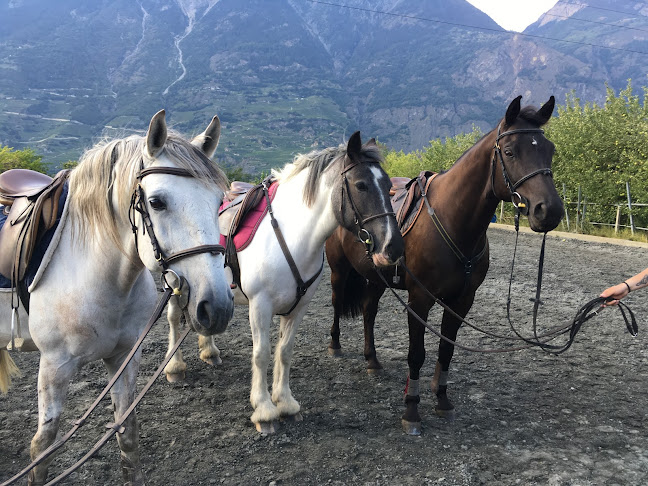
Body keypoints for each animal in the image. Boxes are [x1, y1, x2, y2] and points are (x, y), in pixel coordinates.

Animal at [0, 111, 233, 486]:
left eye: (219, 202)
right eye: (156, 202)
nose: (217, 307)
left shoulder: (123, 357)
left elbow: (128, 433)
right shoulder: (54, 367)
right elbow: (42, 448)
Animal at [165, 131, 402, 430]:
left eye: (388, 185)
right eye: (361, 185)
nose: (393, 247)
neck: (291, 236)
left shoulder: (298, 307)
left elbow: (285, 351)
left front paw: (286, 403)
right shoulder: (260, 306)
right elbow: (262, 354)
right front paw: (264, 409)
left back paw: (209, 352)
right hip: (174, 282)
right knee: (174, 318)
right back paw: (174, 367)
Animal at [326, 95, 564, 432]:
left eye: (549, 149)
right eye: (509, 151)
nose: (550, 210)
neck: (453, 221)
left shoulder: (462, 300)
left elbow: (446, 349)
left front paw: (442, 399)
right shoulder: (419, 300)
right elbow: (417, 354)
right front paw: (411, 409)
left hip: (376, 278)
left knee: (369, 312)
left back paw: (372, 360)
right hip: (339, 270)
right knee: (337, 302)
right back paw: (335, 346)